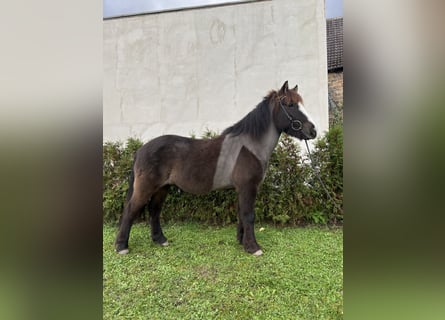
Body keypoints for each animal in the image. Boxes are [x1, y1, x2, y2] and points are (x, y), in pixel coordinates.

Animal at [114, 80, 316, 258]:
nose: (313, 131)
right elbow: (249, 215)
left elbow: (241, 214)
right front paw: (253, 247)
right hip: (146, 187)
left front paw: (241, 241)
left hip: (162, 188)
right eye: (290, 104)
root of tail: (141, 150)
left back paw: (160, 240)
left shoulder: (241, 189)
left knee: (154, 210)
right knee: (131, 209)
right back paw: (121, 246)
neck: (249, 147)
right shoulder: (248, 187)